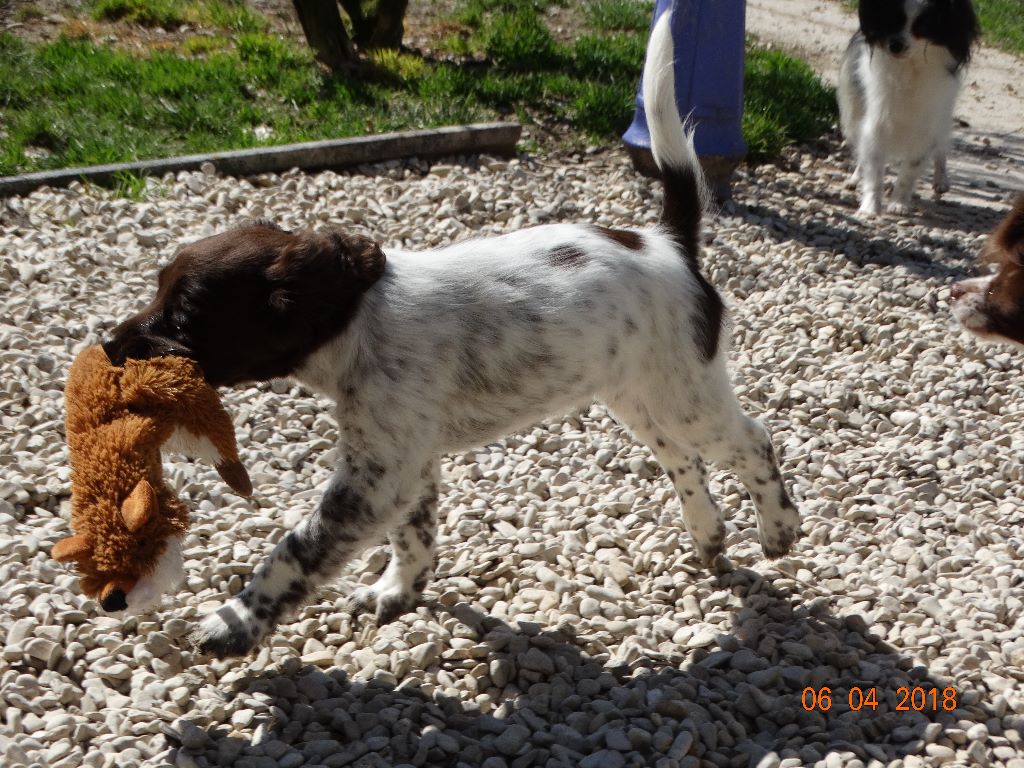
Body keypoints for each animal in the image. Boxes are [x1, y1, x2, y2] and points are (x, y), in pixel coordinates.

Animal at [101, 10, 798, 663]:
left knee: (753, 440)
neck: (357, 320)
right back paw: (709, 536)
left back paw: (779, 528)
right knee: (684, 459)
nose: (106, 346)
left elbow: (297, 549)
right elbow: (414, 535)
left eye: (184, 317)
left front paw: (236, 621)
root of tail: (669, 244)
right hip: (638, 394)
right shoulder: (406, 459)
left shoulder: (375, 476)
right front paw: (399, 592)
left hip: (684, 390)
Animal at [839, 0, 983, 217]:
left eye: (923, 26)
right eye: (891, 19)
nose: (895, 45)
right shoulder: (876, 122)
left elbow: (909, 171)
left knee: (941, 147)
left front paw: (898, 203)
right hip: (855, 111)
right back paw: (856, 177)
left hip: (943, 115)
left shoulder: (927, 126)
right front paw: (870, 207)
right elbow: (874, 168)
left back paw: (941, 180)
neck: (909, 67)